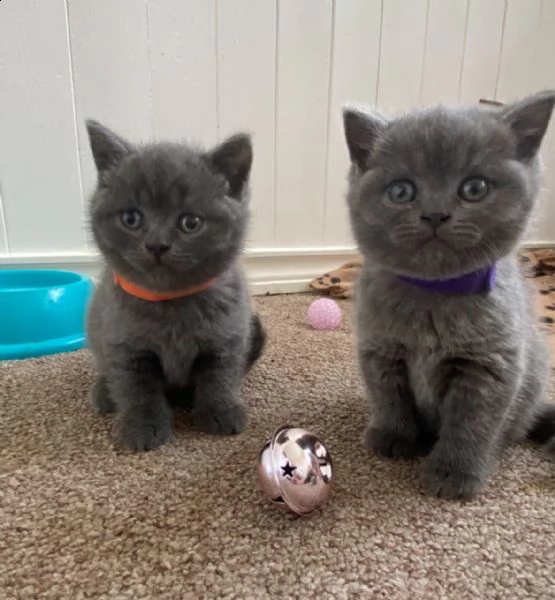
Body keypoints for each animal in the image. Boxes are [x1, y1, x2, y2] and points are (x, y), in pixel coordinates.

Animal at [86, 120, 264, 450]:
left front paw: (221, 412)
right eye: (131, 218)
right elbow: (137, 390)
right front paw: (143, 428)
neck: (171, 304)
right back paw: (104, 392)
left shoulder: (227, 338)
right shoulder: (125, 347)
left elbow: (219, 377)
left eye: (190, 222)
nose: (156, 245)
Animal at [344, 91, 555, 500]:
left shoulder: (489, 364)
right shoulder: (380, 348)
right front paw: (392, 437)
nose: (435, 214)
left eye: (475, 188)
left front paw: (453, 474)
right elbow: (388, 395)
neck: (435, 292)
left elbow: (471, 423)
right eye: (401, 191)